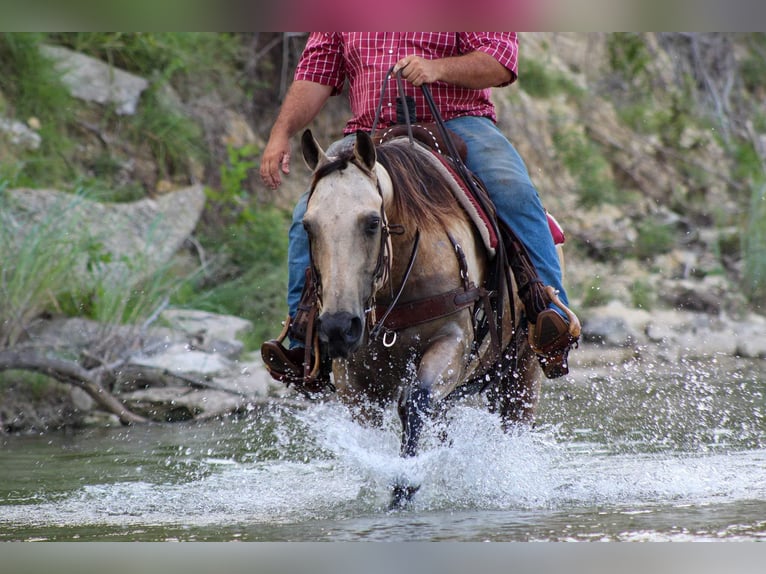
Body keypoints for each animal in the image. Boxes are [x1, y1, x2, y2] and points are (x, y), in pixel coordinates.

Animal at [300, 128, 541, 507]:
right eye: (308, 227)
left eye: (372, 222)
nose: (339, 327)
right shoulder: (351, 376)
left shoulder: (452, 340)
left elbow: (414, 403)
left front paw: (404, 486)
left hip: (523, 371)